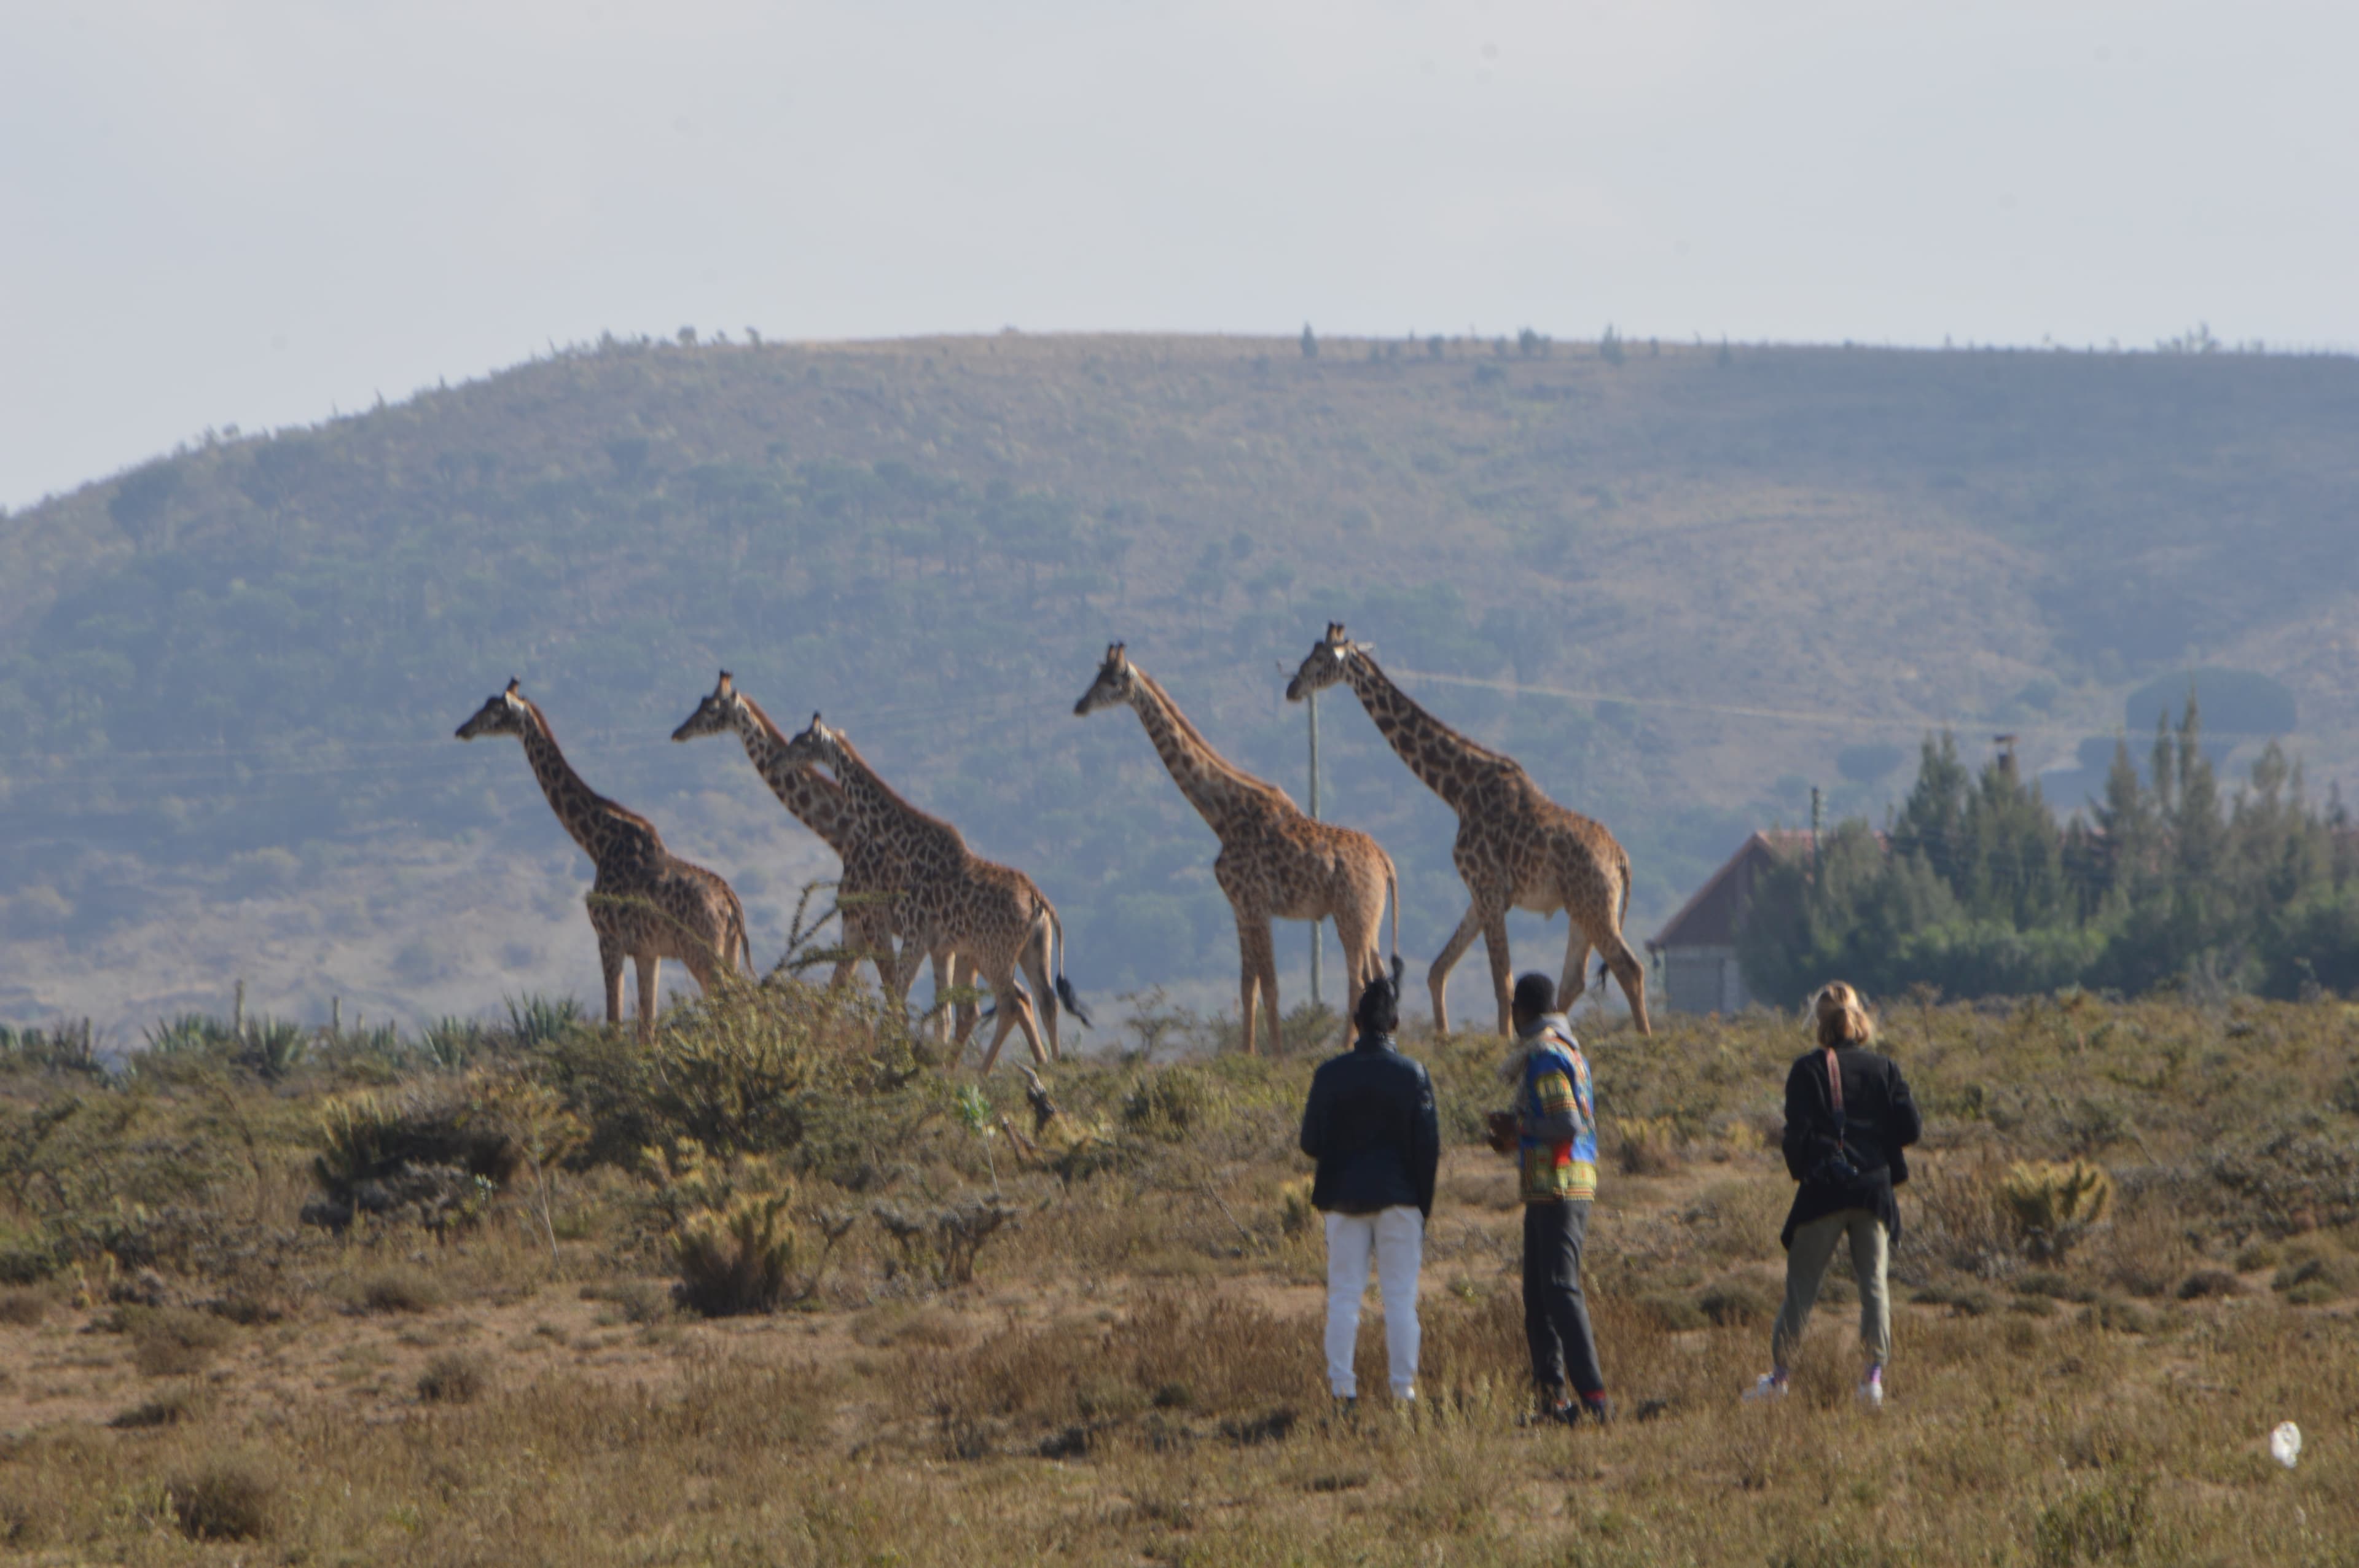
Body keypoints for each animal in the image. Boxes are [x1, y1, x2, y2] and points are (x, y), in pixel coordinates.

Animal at [456, 680, 749, 1037]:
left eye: (495, 709)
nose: (463, 729)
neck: (597, 843)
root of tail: (732, 905)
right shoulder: (648, 951)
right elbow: (646, 1027)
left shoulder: (609, 940)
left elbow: (614, 1024)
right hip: (728, 950)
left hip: (702, 951)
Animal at [669, 671, 972, 1034]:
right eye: (701, 702)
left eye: (712, 708)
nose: (678, 732)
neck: (843, 835)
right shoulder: (855, 926)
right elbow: (832, 1002)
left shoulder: (873, 922)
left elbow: (887, 1003)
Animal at [777, 714, 1089, 1071]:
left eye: (802, 741)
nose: (778, 760)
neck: (906, 844)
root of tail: (1039, 901)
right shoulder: (938, 944)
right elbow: (938, 1010)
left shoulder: (916, 934)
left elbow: (900, 1000)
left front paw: (891, 1061)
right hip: (1033, 949)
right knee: (1045, 1000)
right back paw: (1052, 1068)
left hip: (995, 954)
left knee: (1011, 1003)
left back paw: (991, 1073)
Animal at [1074, 642, 1397, 1056]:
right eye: (1095, 675)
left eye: (1113, 680)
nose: (1080, 705)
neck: (1223, 815)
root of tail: (1385, 861)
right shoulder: (1240, 907)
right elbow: (1248, 988)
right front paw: (1247, 1055)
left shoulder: (1256, 903)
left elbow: (1271, 987)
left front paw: (1277, 1058)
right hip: (1370, 916)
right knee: (1377, 977)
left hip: (1351, 913)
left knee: (1357, 980)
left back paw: (1345, 1046)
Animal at [1284, 624, 1652, 1038]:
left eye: (1319, 660)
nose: (1292, 688)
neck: (1457, 790)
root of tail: (1621, 859)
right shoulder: (1483, 893)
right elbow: (1438, 970)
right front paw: (1445, 1040)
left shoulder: (1488, 888)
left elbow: (1502, 981)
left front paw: (1502, 1041)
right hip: (1580, 908)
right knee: (1575, 978)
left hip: (1595, 904)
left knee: (1629, 968)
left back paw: (1645, 1040)